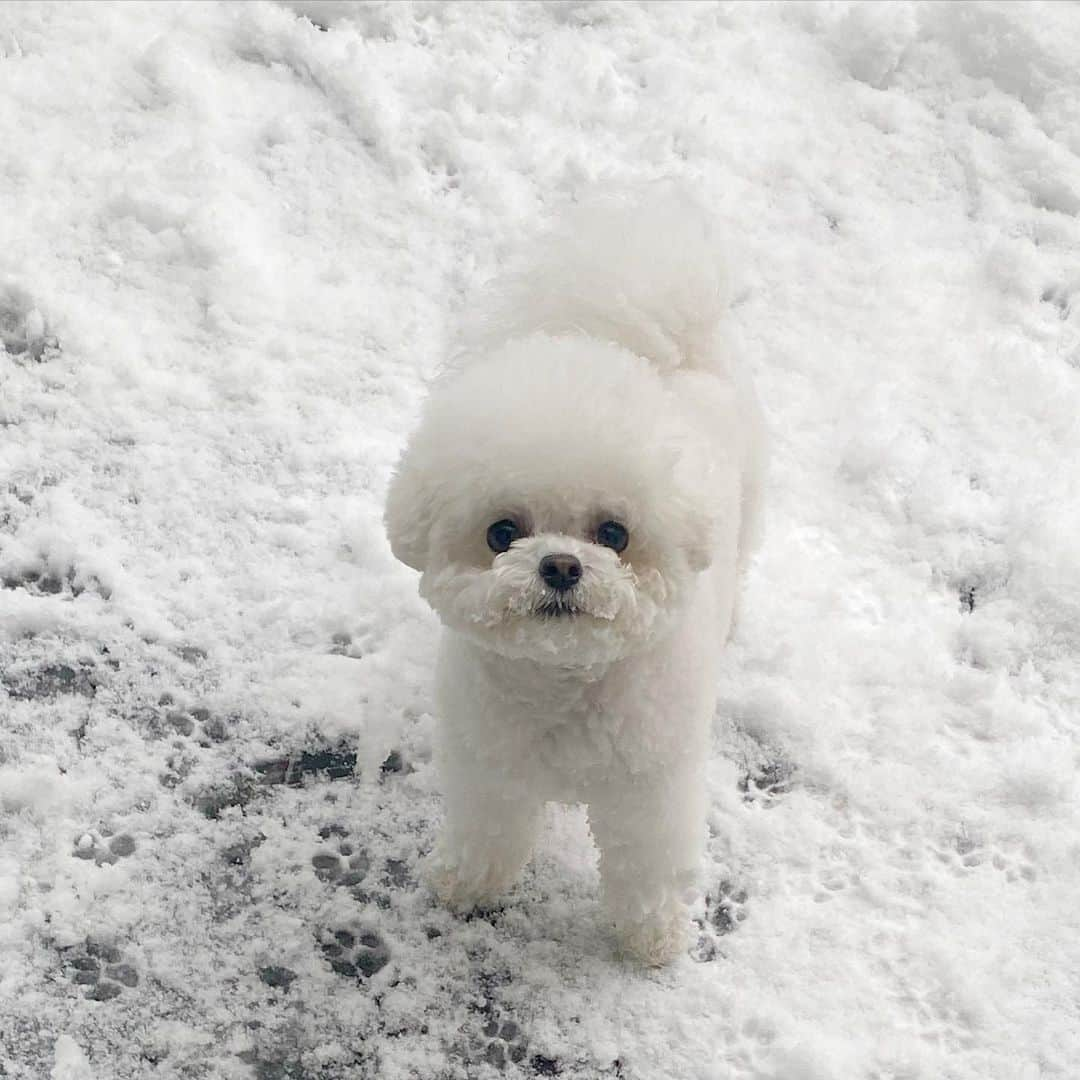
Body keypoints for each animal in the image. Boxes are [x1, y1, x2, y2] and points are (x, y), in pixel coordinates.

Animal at [384, 190, 764, 967]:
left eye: (613, 534)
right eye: (502, 532)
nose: (559, 565)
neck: (563, 682)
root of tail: (670, 347)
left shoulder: (650, 790)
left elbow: (646, 866)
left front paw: (652, 937)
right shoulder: (490, 765)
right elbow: (489, 828)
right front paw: (468, 884)